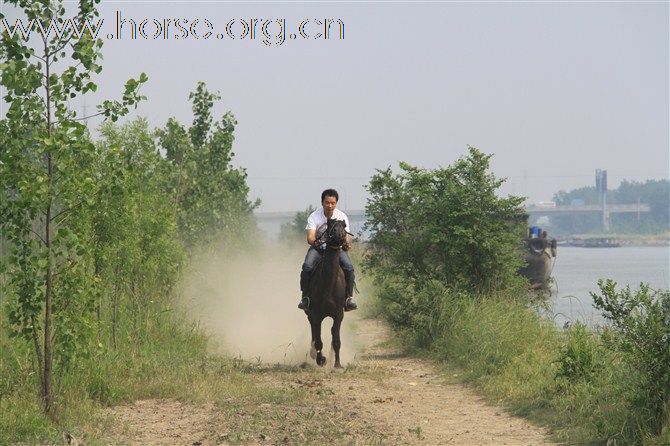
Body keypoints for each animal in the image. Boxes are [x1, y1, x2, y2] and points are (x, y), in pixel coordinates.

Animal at [308, 218, 350, 368]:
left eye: (344, 225)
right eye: (330, 225)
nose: (339, 234)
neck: (328, 286)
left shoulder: (338, 315)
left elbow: (336, 341)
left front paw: (337, 364)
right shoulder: (316, 315)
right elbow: (318, 341)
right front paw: (321, 360)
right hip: (309, 313)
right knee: (313, 333)